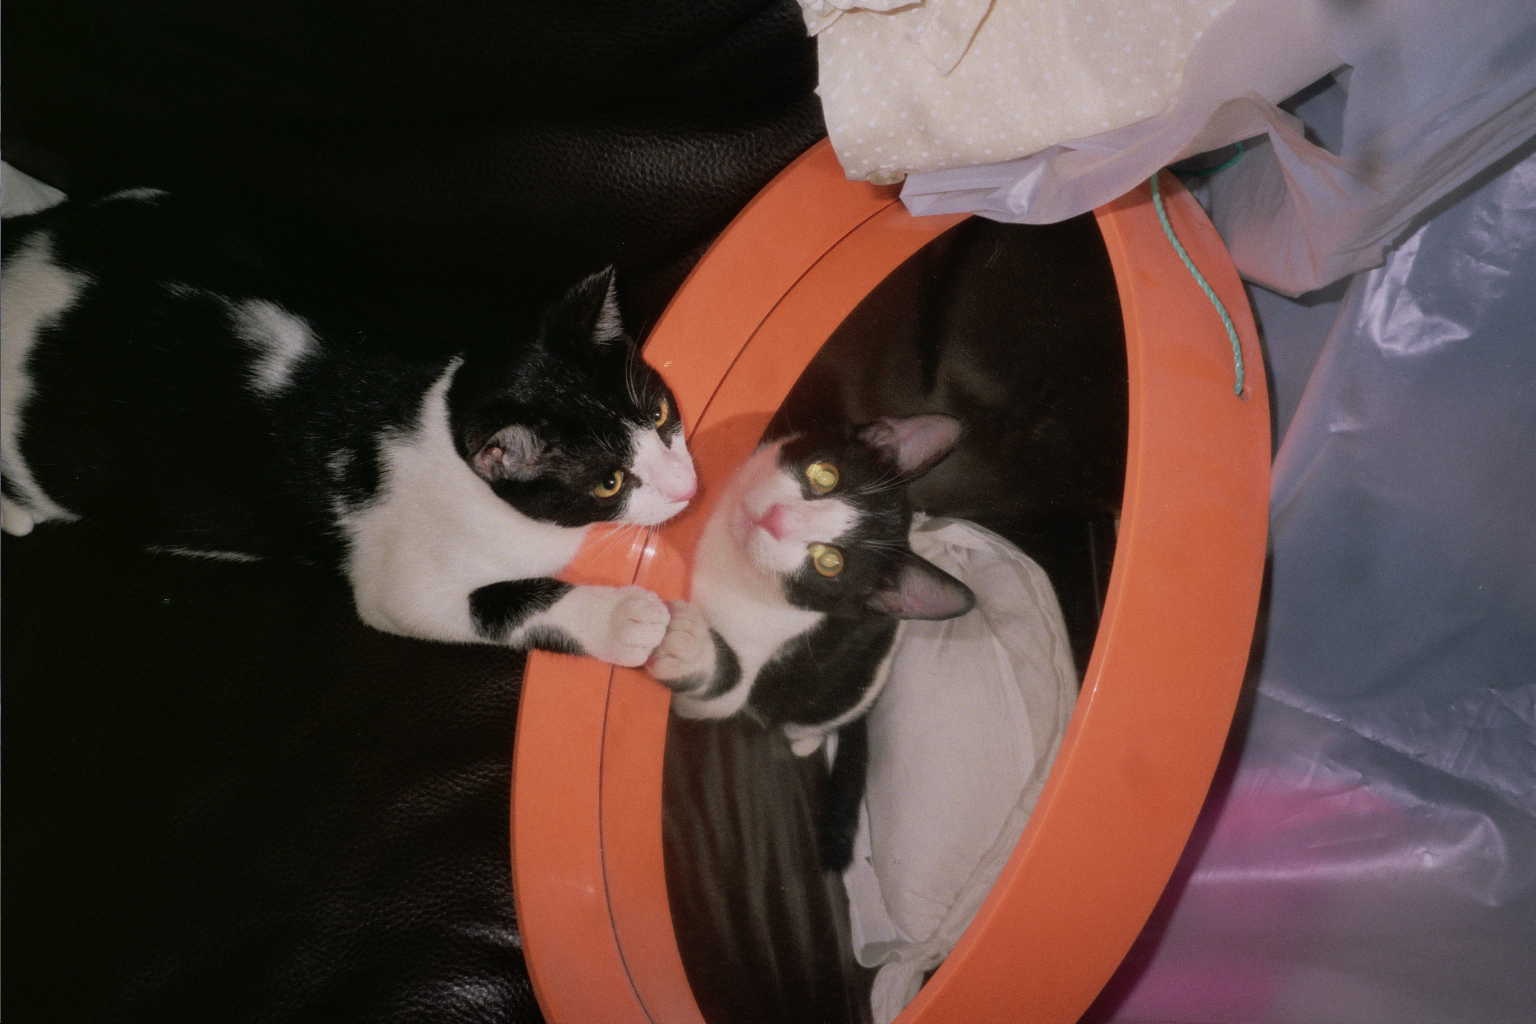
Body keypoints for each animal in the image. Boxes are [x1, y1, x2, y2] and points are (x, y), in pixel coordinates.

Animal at [1, 188, 696, 665]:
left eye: (661, 415)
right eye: (610, 482)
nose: (688, 487)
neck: (437, 411)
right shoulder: (401, 579)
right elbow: (492, 603)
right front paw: (627, 620)